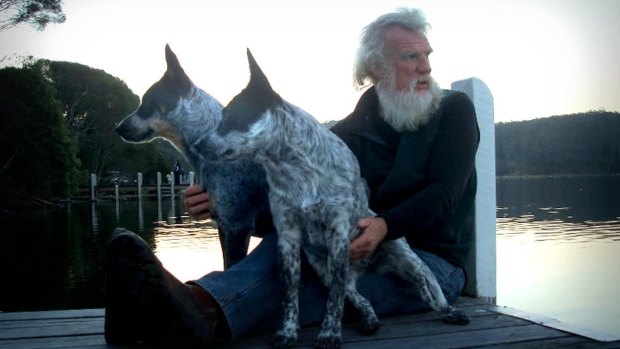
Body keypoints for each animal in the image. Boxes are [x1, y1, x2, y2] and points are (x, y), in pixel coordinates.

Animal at [199, 49, 470, 348]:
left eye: (230, 116)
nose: (199, 144)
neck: (294, 170)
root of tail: (368, 266)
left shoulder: (338, 233)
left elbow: (334, 300)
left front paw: (329, 334)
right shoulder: (288, 237)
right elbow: (290, 293)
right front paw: (287, 332)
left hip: (409, 260)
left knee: (428, 291)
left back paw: (448, 311)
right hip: (323, 269)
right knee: (359, 297)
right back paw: (370, 320)